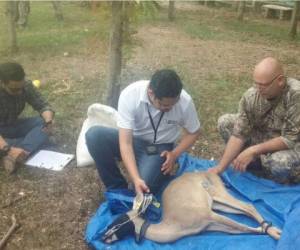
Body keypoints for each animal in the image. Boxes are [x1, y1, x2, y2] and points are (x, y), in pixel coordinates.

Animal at [101, 172, 282, 244]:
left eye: (116, 222)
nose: (103, 237)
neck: (174, 225)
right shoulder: (209, 225)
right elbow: (239, 229)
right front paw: (262, 230)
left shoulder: (209, 215)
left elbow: (240, 226)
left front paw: (274, 234)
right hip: (217, 203)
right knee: (246, 207)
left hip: (218, 194)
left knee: (248, 205)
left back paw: (275, 231)